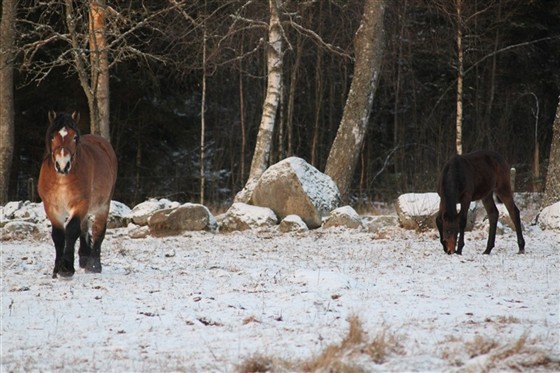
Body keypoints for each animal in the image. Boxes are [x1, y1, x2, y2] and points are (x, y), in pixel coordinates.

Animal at [38, 110, 118, 276]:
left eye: (74, 137)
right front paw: (57, 268)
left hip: (103, 205)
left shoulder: (80, 204)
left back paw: (94, 265)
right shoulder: (51, 207)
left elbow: (72, 230)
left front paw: (66, 268)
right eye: (52, 136)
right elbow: (58, 235)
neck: (61, 179)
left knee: (98, 230)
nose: (62, 165)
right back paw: (84, 257)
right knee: (84, 228)